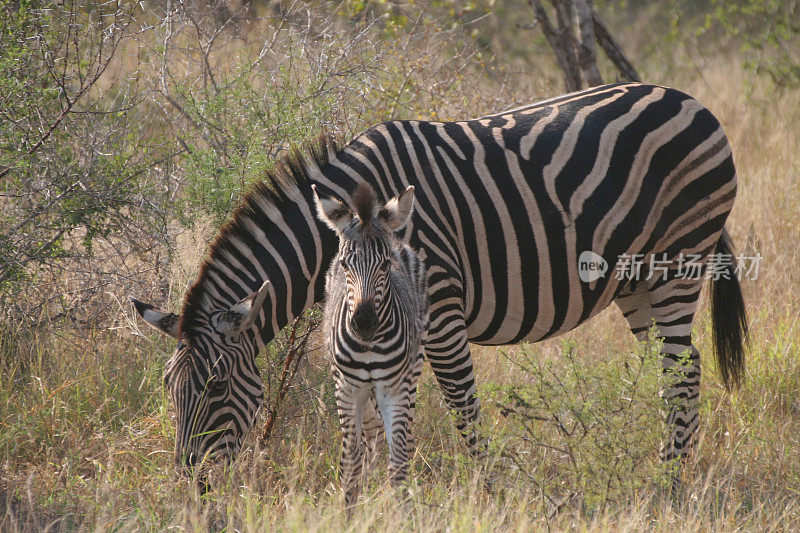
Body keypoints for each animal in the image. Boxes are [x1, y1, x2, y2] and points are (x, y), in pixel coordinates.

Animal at [310, 181, 428, 504]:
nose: (363, 323)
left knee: (403, 437)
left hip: (413, 370)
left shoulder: (394, 390)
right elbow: (350, 464)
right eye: (345, 264)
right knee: (367, 437)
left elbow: (398, 465)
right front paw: (349, 509)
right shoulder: (347, 390)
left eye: (386, 264)